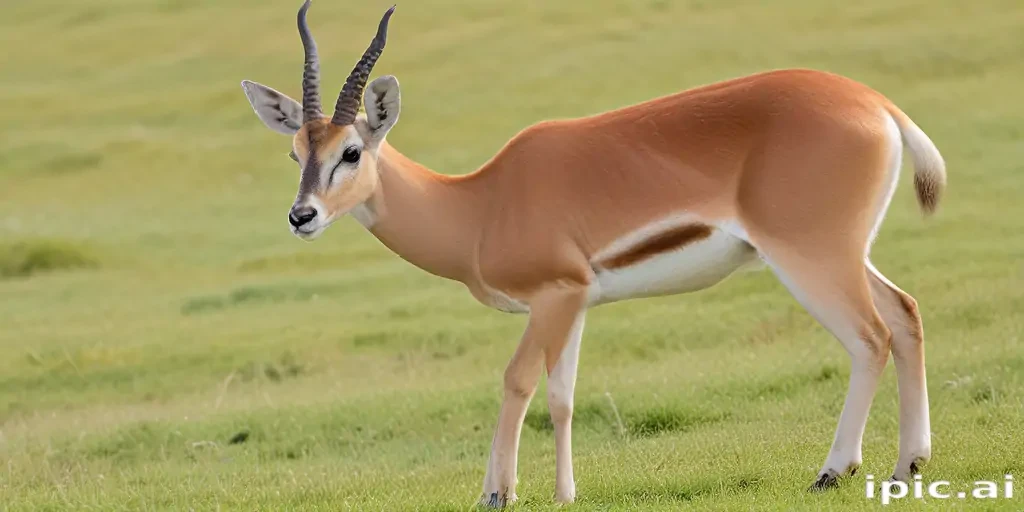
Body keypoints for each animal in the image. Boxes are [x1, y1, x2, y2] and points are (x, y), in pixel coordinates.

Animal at [240, 1, 944, 506]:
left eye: (351, 152)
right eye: (297, 154)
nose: (302, 216)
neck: (479, 204)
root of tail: (877, 103)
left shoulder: (553, 297)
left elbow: (517, 381)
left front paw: (497, 493)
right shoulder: (574, 305)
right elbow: (563, 396)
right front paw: (565, 495)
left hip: (809, 259)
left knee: (870, 336)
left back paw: (834, 471)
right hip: (844, 255)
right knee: (906, 313)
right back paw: (906, 468)